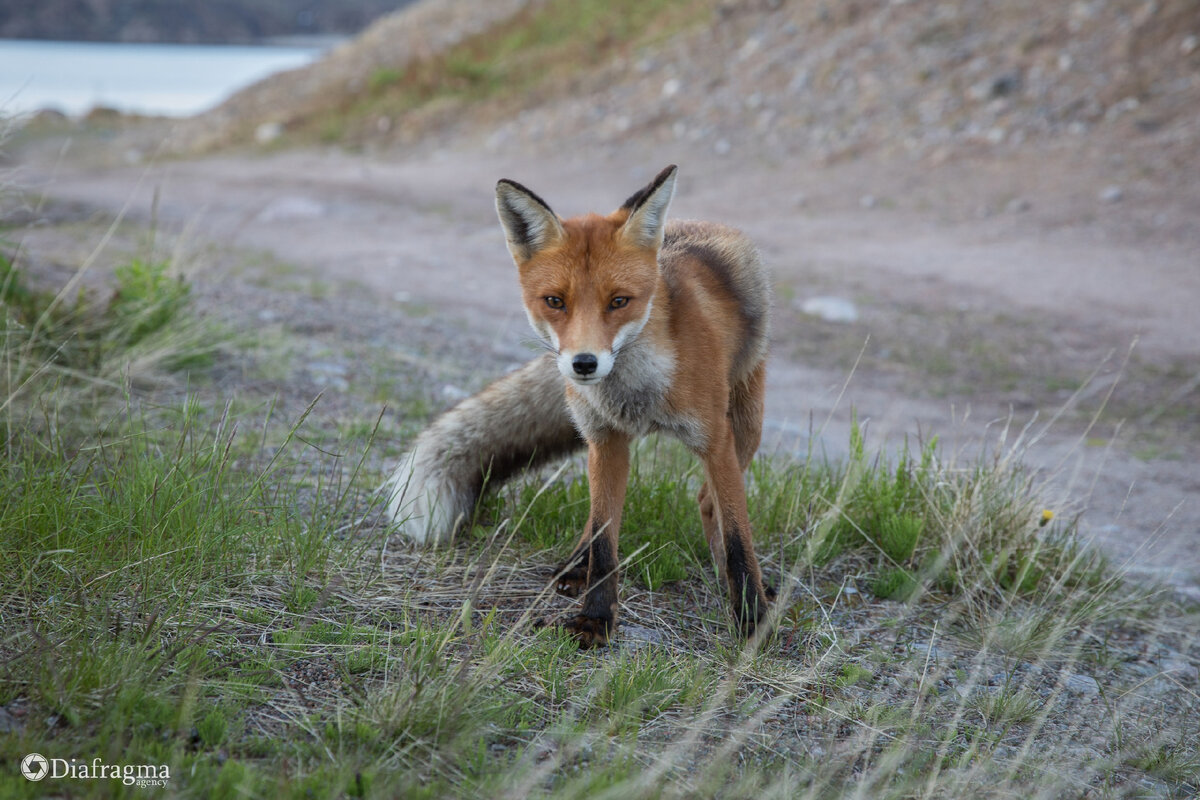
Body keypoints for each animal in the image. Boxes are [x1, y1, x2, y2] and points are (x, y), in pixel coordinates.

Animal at [388, 165, 772, 647]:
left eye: (619, 301)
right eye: (555, 301)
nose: (584, 363)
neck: (639, 393)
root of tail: (701, 224)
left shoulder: (714, 440)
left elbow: (739, 537)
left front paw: (752, 617)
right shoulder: (607, 439)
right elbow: (606, 541)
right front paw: (595, 618)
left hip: (746, 425)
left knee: (707, 501)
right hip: (599, 441)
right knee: (600, 517)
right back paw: (575, 567)